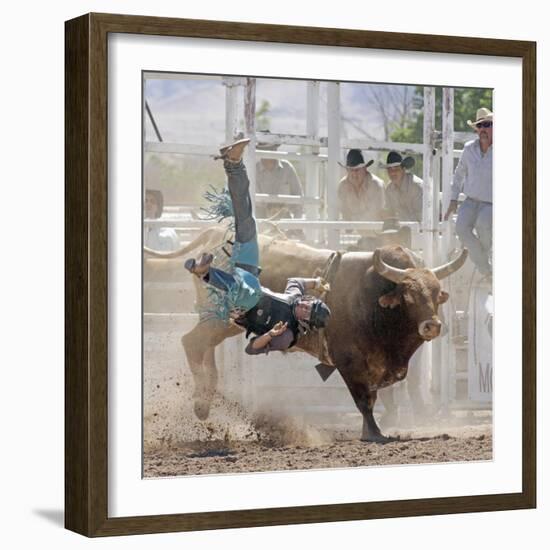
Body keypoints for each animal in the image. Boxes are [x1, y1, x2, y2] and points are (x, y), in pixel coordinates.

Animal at [144, 226, 468, 446]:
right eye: (409, 296)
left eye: (437, 294)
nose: (432, 326)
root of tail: (215, 234)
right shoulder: (348, 362)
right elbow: (364, 400)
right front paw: (373, 433)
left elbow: (377, 396)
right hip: (220, 319)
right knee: (191, 342)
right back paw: (201, 403)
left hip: (221, 322)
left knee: (202, 345)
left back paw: (207, 397)